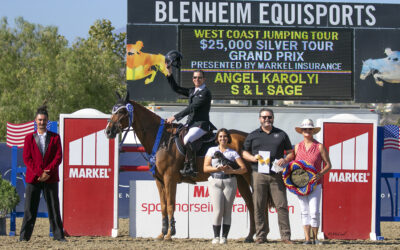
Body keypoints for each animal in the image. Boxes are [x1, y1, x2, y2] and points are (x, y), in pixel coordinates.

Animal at [106, 94, 255, 241]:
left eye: (121, 111)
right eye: (113, 110)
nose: (108, 131)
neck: (162, 140)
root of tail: (246, 136)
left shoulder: (169, 178)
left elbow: (171, 204)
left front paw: (170, 233)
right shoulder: (159, 180)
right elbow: (163, 205)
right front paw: (162, 233)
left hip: (248, 176)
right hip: (240, 178)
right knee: (250, 202)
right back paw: (249, 236)